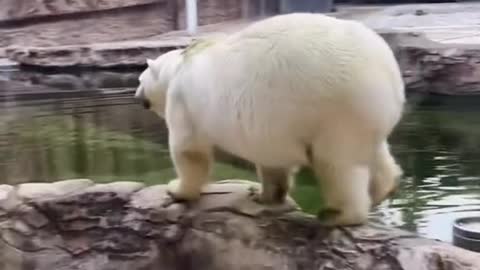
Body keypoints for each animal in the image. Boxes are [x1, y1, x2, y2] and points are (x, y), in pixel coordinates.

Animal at [134, 13, 404, 227]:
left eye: (140, 80)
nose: (137, 96)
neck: (182, 64)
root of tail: (388, 71)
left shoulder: (183, 102)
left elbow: (189, 151)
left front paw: (177, 189)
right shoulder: (267, 126)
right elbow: (272, 161)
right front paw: (262, 195)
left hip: (337, 109)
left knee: (337, 165)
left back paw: (336, 214)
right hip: (367, 114)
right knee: (374, 151)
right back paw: (383, 189)